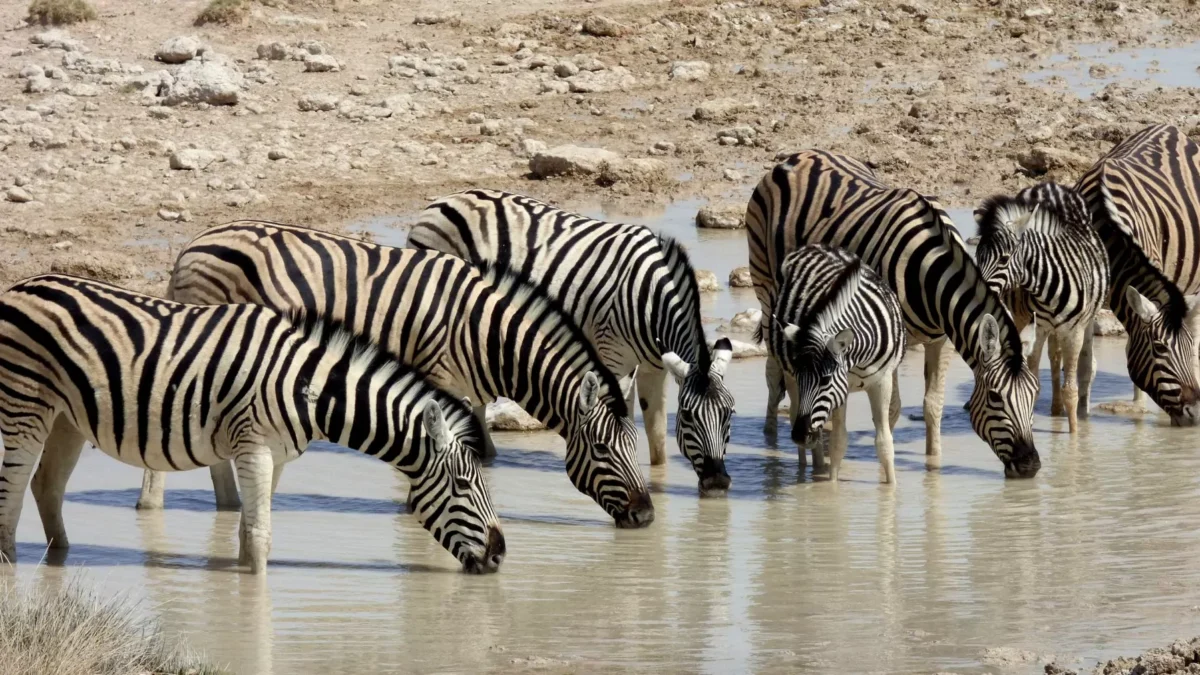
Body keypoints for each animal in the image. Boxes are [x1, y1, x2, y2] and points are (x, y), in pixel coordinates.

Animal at [0, 274, 504, 574]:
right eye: (463, 485)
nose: (500, 555)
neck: (308, 388)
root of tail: (21, 285)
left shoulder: (274, 457)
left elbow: (246, 531)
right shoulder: (254, 448)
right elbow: (261, 536)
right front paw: (256, 600)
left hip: (68, 417)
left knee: (47, 486)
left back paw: (59, 558)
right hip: (25, 405)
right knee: (14, 491)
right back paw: (11, 565)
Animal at [135, 221, 652, 528]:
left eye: (635, 447)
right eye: (602, 449)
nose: (647, 517)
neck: (485, 333)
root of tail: (191, 245)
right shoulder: (434, 375)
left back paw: (227, 508)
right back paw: (156, 507)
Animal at [409, 190, 737, 493]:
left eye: (729, 414)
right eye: (688, 416)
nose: (717, 482)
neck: (650, 301)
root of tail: (442, 199)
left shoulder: (654, 368)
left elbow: (656, 434)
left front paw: (659, 478)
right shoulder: (612, 356)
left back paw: (486, 454)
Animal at [769, 245, 905, 483]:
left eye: (825, 380)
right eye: (801, 376)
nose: (800, 435)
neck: (861, 357)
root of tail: (814, 246)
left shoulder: (883, 381)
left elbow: (884, 443)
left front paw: (891, 487)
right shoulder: (841, 385)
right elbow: (838, 442)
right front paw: (832, 487)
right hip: (788, 375)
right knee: (796, 412)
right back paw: (803, 470)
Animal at [973, 182, 1108, 433]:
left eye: (1004, 259)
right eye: (978, 257)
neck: (1047, 291)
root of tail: (1048, 184)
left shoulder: (1073, 332)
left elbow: (1071, 390)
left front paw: (1075, 439)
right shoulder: (1036, 327)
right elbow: (1031, 383)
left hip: (1082, 322)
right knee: (1053, 358)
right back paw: (1055, 409)